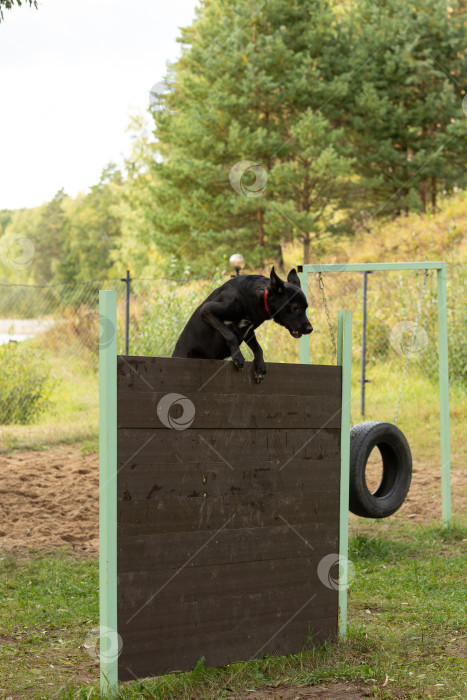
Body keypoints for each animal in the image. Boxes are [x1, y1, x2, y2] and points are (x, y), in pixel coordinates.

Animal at [173, 266, 314, 382]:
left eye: (306, 307)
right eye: (296, 308)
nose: (310, 329)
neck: (260, 296)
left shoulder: (248, 330)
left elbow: (258, 348)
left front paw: (260, 367)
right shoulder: (207, 310)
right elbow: (230, 335)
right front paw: (238, 357)